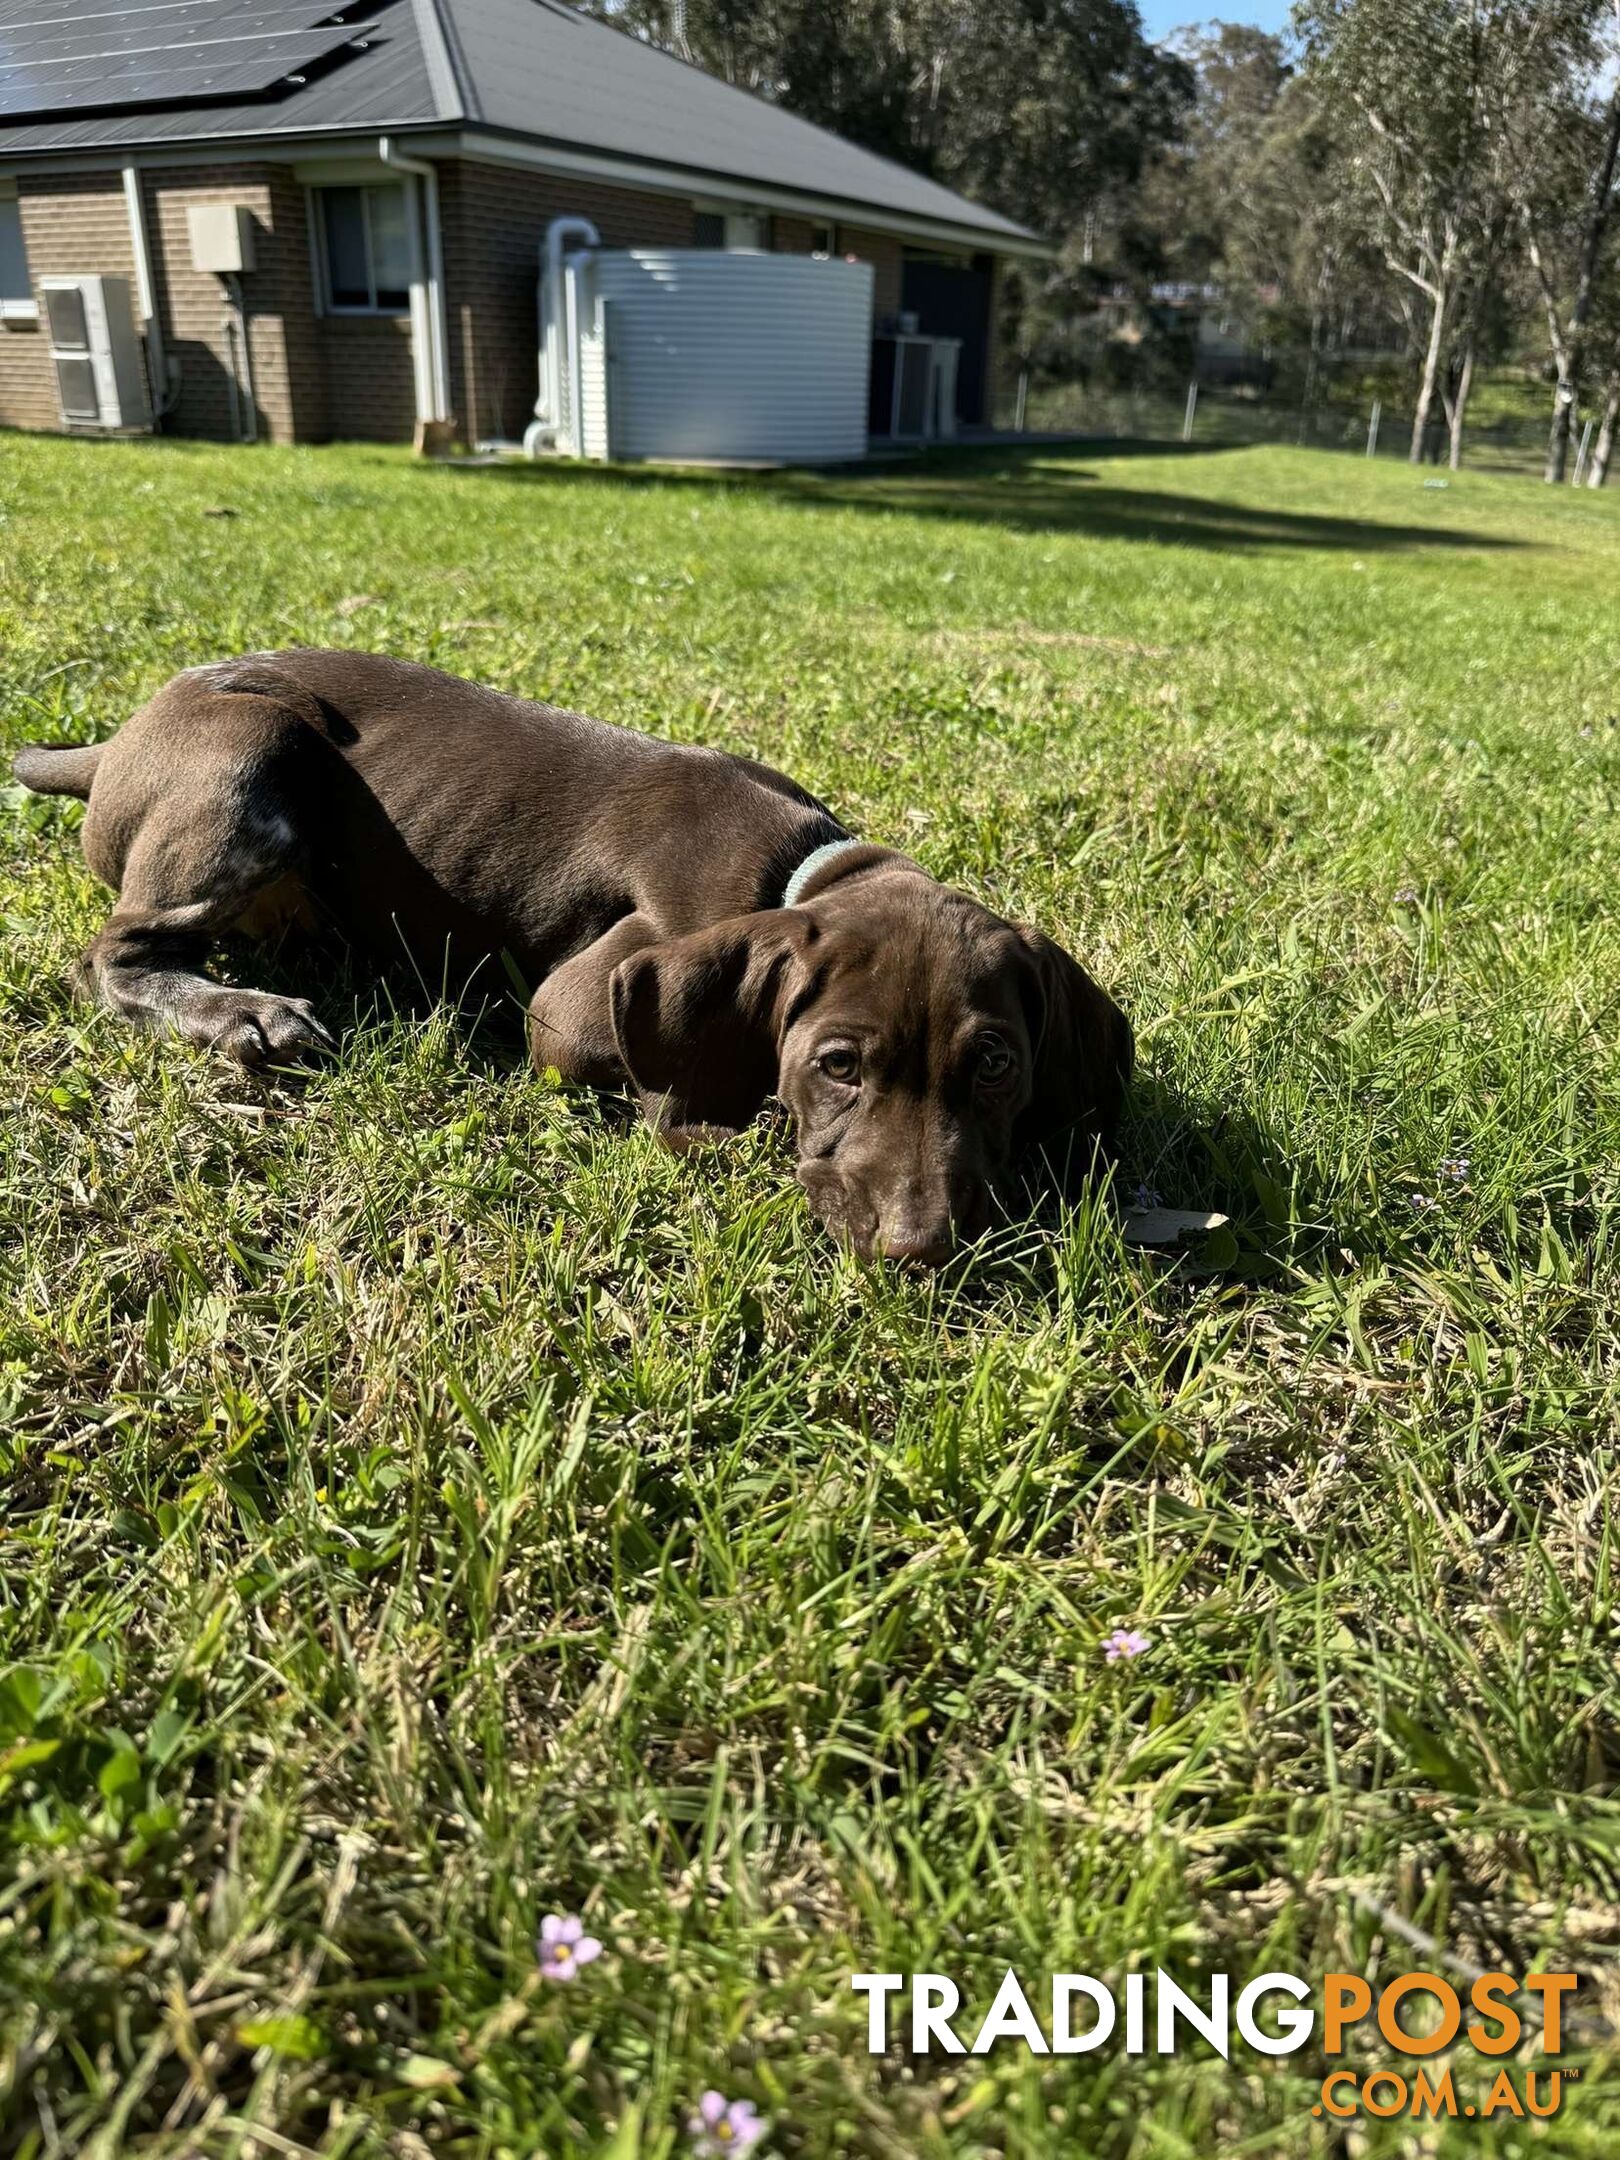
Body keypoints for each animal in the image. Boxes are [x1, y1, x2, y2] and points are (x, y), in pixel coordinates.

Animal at [15, 648, 1131, 1261]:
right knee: (113, 954)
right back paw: (241, 1012)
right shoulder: (571, 1004)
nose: (921, 1248)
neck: (796, 872)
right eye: (838, 1066)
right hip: (251, 751)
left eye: (996, 1064)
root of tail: (117, 741)